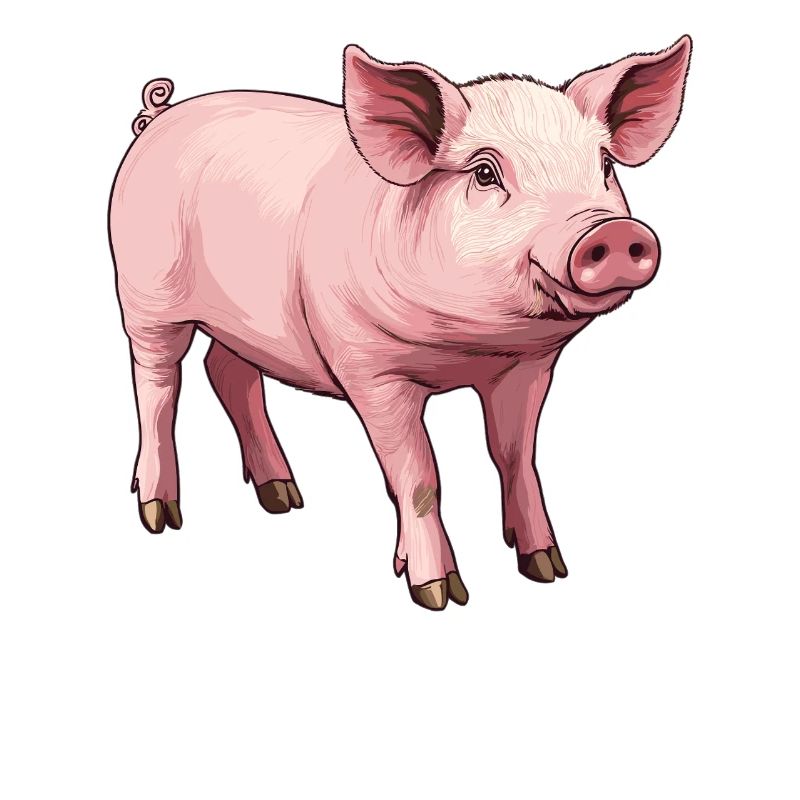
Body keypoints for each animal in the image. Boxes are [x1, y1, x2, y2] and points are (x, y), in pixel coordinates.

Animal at [109, 37, 691, 610]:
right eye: (485, 173)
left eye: (604, 165)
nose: (611, 231)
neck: (470, 352)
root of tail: (156, 119)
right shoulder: (371, 370)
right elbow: (419, 476)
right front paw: (439, 594)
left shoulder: (527, 368)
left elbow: (515, 457)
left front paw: (547, 570)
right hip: (144, 297)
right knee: (157, 385)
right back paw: (161, 515)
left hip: (245, 323)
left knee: (227, 373)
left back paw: (285, 498)